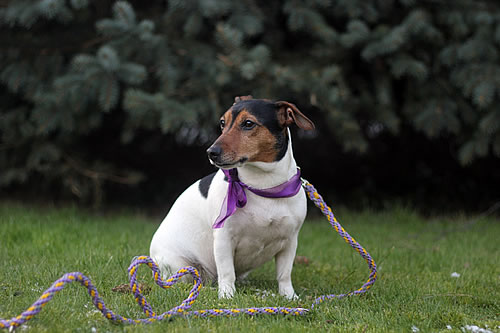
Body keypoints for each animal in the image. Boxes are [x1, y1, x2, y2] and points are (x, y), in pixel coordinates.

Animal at [148, 95, 314, 298]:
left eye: (248, 123)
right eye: (222, 123)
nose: (211, 152)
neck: (262, 187)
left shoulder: (290, 241)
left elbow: (284, 273)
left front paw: (289, 297)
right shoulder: (223, 238)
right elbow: (227, 271)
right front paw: (226, 295)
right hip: (181, 266)